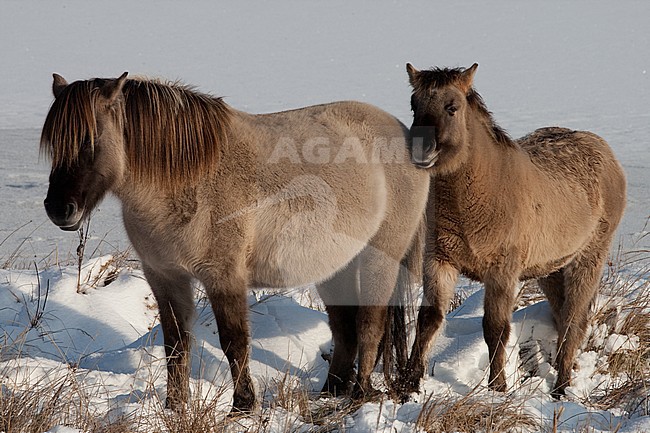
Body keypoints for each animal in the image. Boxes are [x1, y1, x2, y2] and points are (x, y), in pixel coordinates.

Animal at [40, 73, 430, 413]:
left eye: (90, 140)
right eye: (55, 143)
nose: (59, 209)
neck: (188, 181)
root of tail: (404, 136)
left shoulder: (223, 275)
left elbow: (233, 341)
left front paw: (243, 407)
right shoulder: (165, 277)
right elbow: (176, 345)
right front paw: (174, 408)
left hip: (380, 259)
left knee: (370, 325)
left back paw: (360, 394)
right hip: (336, 267)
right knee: (345, 330)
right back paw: (330, 394)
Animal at [401, 63, 626, 398]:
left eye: (451, 107)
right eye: (414, 105)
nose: (420, 150)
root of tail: (605, 151)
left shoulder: (502, 272)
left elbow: (495, 328)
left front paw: (498, 387)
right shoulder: (439, 261)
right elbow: (429, 319)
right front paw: (408, 384)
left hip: (588, 260)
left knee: (573, 322)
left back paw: (561, 388)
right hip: (551, 270)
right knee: (562, 315)